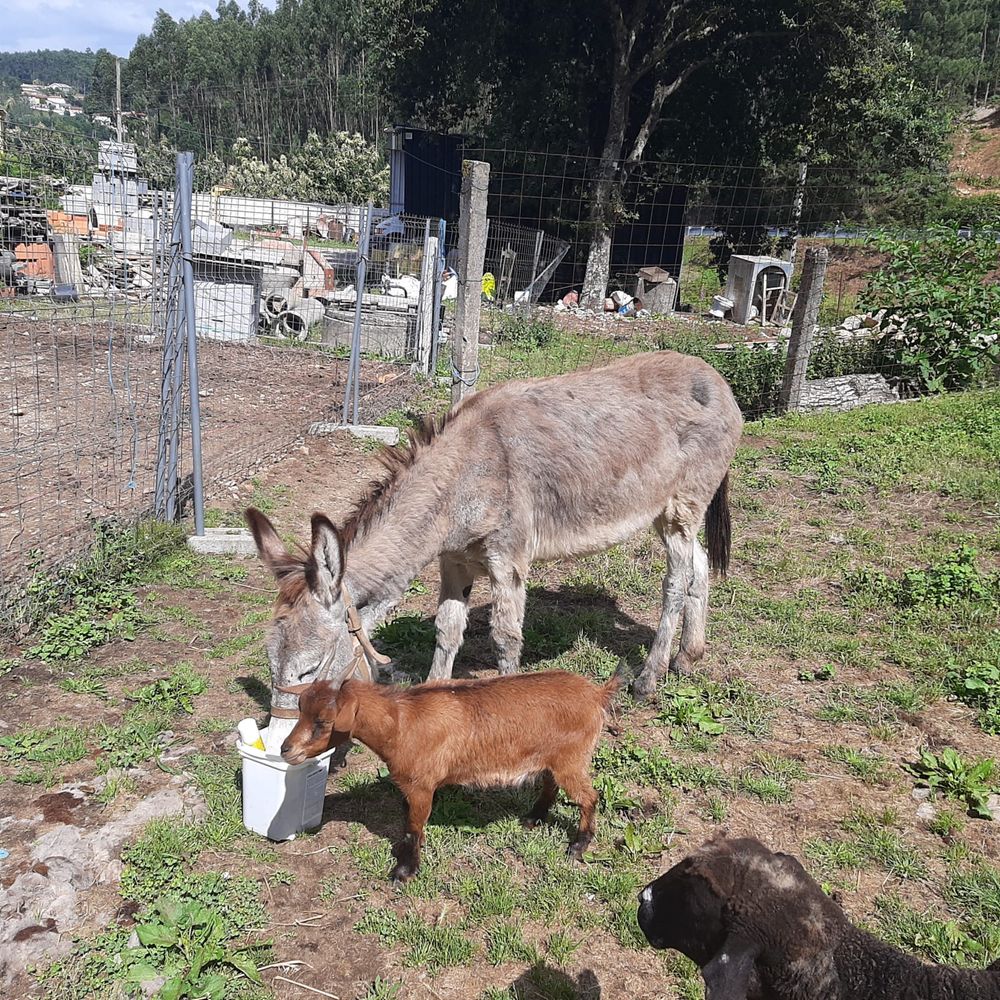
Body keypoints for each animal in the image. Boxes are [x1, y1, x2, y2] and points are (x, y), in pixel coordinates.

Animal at [282, 668, 624, 880]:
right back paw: (533, 817)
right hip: (555, 758)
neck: (401, 723)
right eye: (300, 709)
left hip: (572, 759)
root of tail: (597, 693)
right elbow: (411, 824)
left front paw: (404, 872)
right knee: (552, 785)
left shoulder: (422, 786)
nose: (286, 749)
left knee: (589, 797)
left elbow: (413, 827)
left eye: (324, 721)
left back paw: (578, 846)